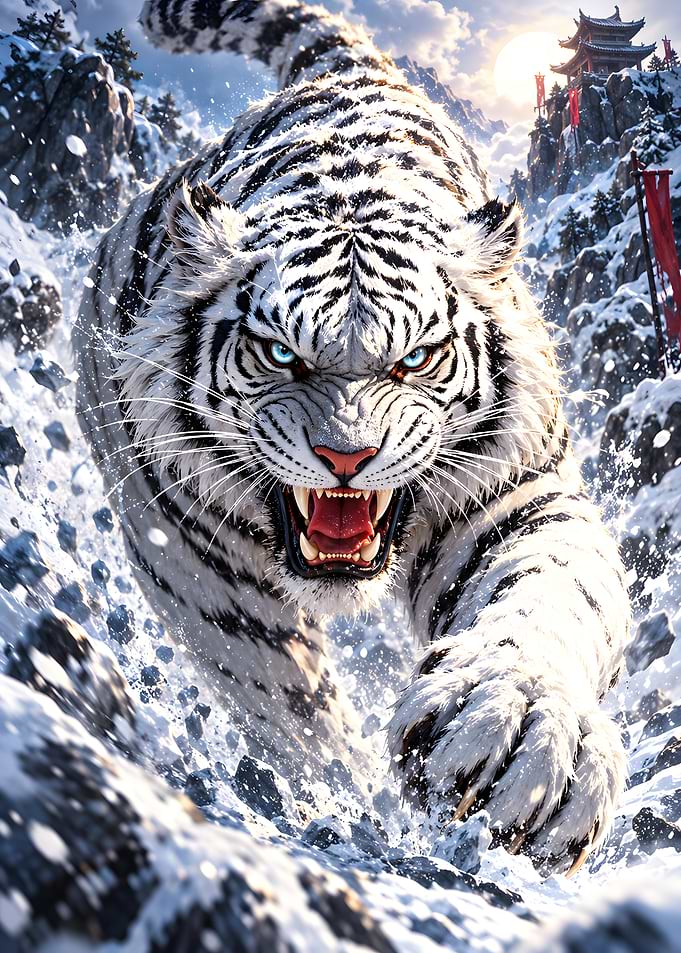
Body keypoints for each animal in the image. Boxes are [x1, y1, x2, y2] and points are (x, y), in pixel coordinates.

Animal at [74, 0, 630, 875]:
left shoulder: (518, 494)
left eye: (415, 359)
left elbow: (550, 593)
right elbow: (277, 688)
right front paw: (346, 801)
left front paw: (524, 738)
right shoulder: (186, 538)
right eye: (280, 354)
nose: (346, 457)